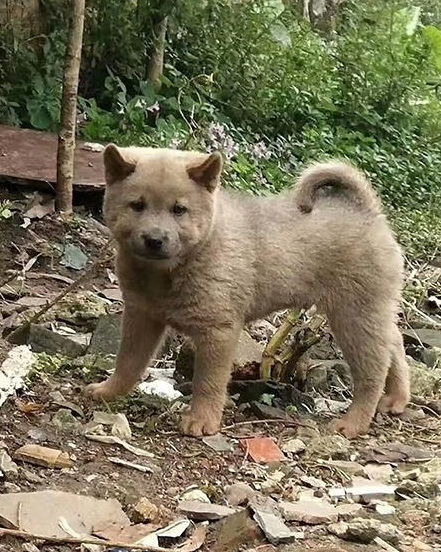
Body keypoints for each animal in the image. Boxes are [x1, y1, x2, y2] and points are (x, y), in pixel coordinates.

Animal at [86, 144, 410, 438]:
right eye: (137, 205)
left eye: (179, 209)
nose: (154, 239)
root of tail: (367, 211)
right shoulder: (141, 316)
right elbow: (128, 362)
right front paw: (108, 391)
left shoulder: (218, 331)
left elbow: (208, 382)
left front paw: (202, 421)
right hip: (373, 311)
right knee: (394, 344)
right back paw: (396, 399)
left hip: (354, 316)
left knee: (373, 371)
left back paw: (353, 423)